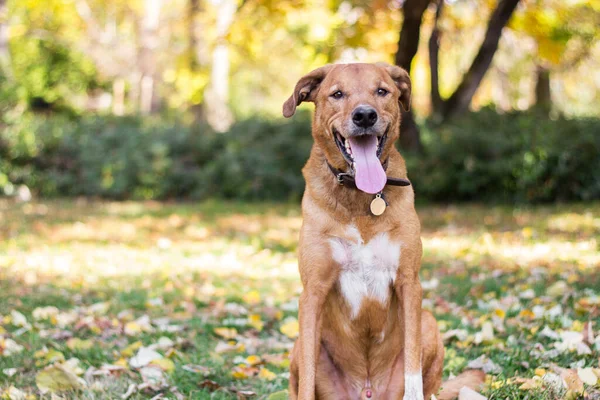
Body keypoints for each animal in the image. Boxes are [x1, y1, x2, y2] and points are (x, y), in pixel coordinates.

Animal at [282, 64, 482, 398]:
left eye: (382, 91)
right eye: (337, 94)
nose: (365, 116)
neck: (360, 196)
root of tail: (367, 391)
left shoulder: (408, 282)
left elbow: (413, 367)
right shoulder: (312, 292)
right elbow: (308, 378)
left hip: (429, 322)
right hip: (299, 345)